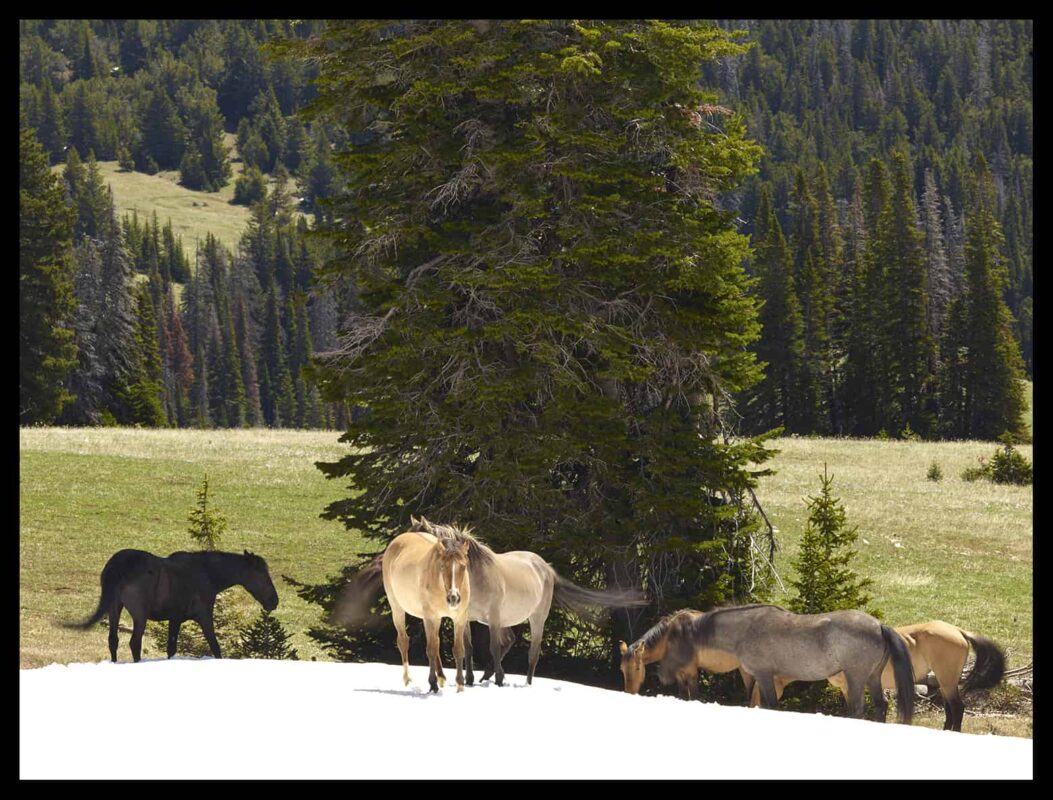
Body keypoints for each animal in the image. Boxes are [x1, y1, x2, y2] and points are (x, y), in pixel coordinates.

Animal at [64, 551, 280, 661]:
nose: (274, 601)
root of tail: (117, 566)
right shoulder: (201, 616)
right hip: (139, 614)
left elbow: (171, 648)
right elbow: (215, 647)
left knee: (113, 640)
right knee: (134, 643)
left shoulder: (174, 618)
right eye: (262, 574)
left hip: (114, 608)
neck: (209, 575)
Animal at [614, 602, 914, 720]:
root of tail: (879, 626)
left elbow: (770, 705)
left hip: (855, 678)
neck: (745, 630)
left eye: (675, 641)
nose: (663, 675)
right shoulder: (757, 677)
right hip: (872, 678)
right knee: (880, 706)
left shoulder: (764, 675)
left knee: (857, 709)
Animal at [741, 618, 1002, 732]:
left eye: (756, 684)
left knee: (957, 708)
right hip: (944, 680)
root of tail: (958, 630)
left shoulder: (852, 684)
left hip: (946, 679)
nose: (751, 706)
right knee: (950, 708)